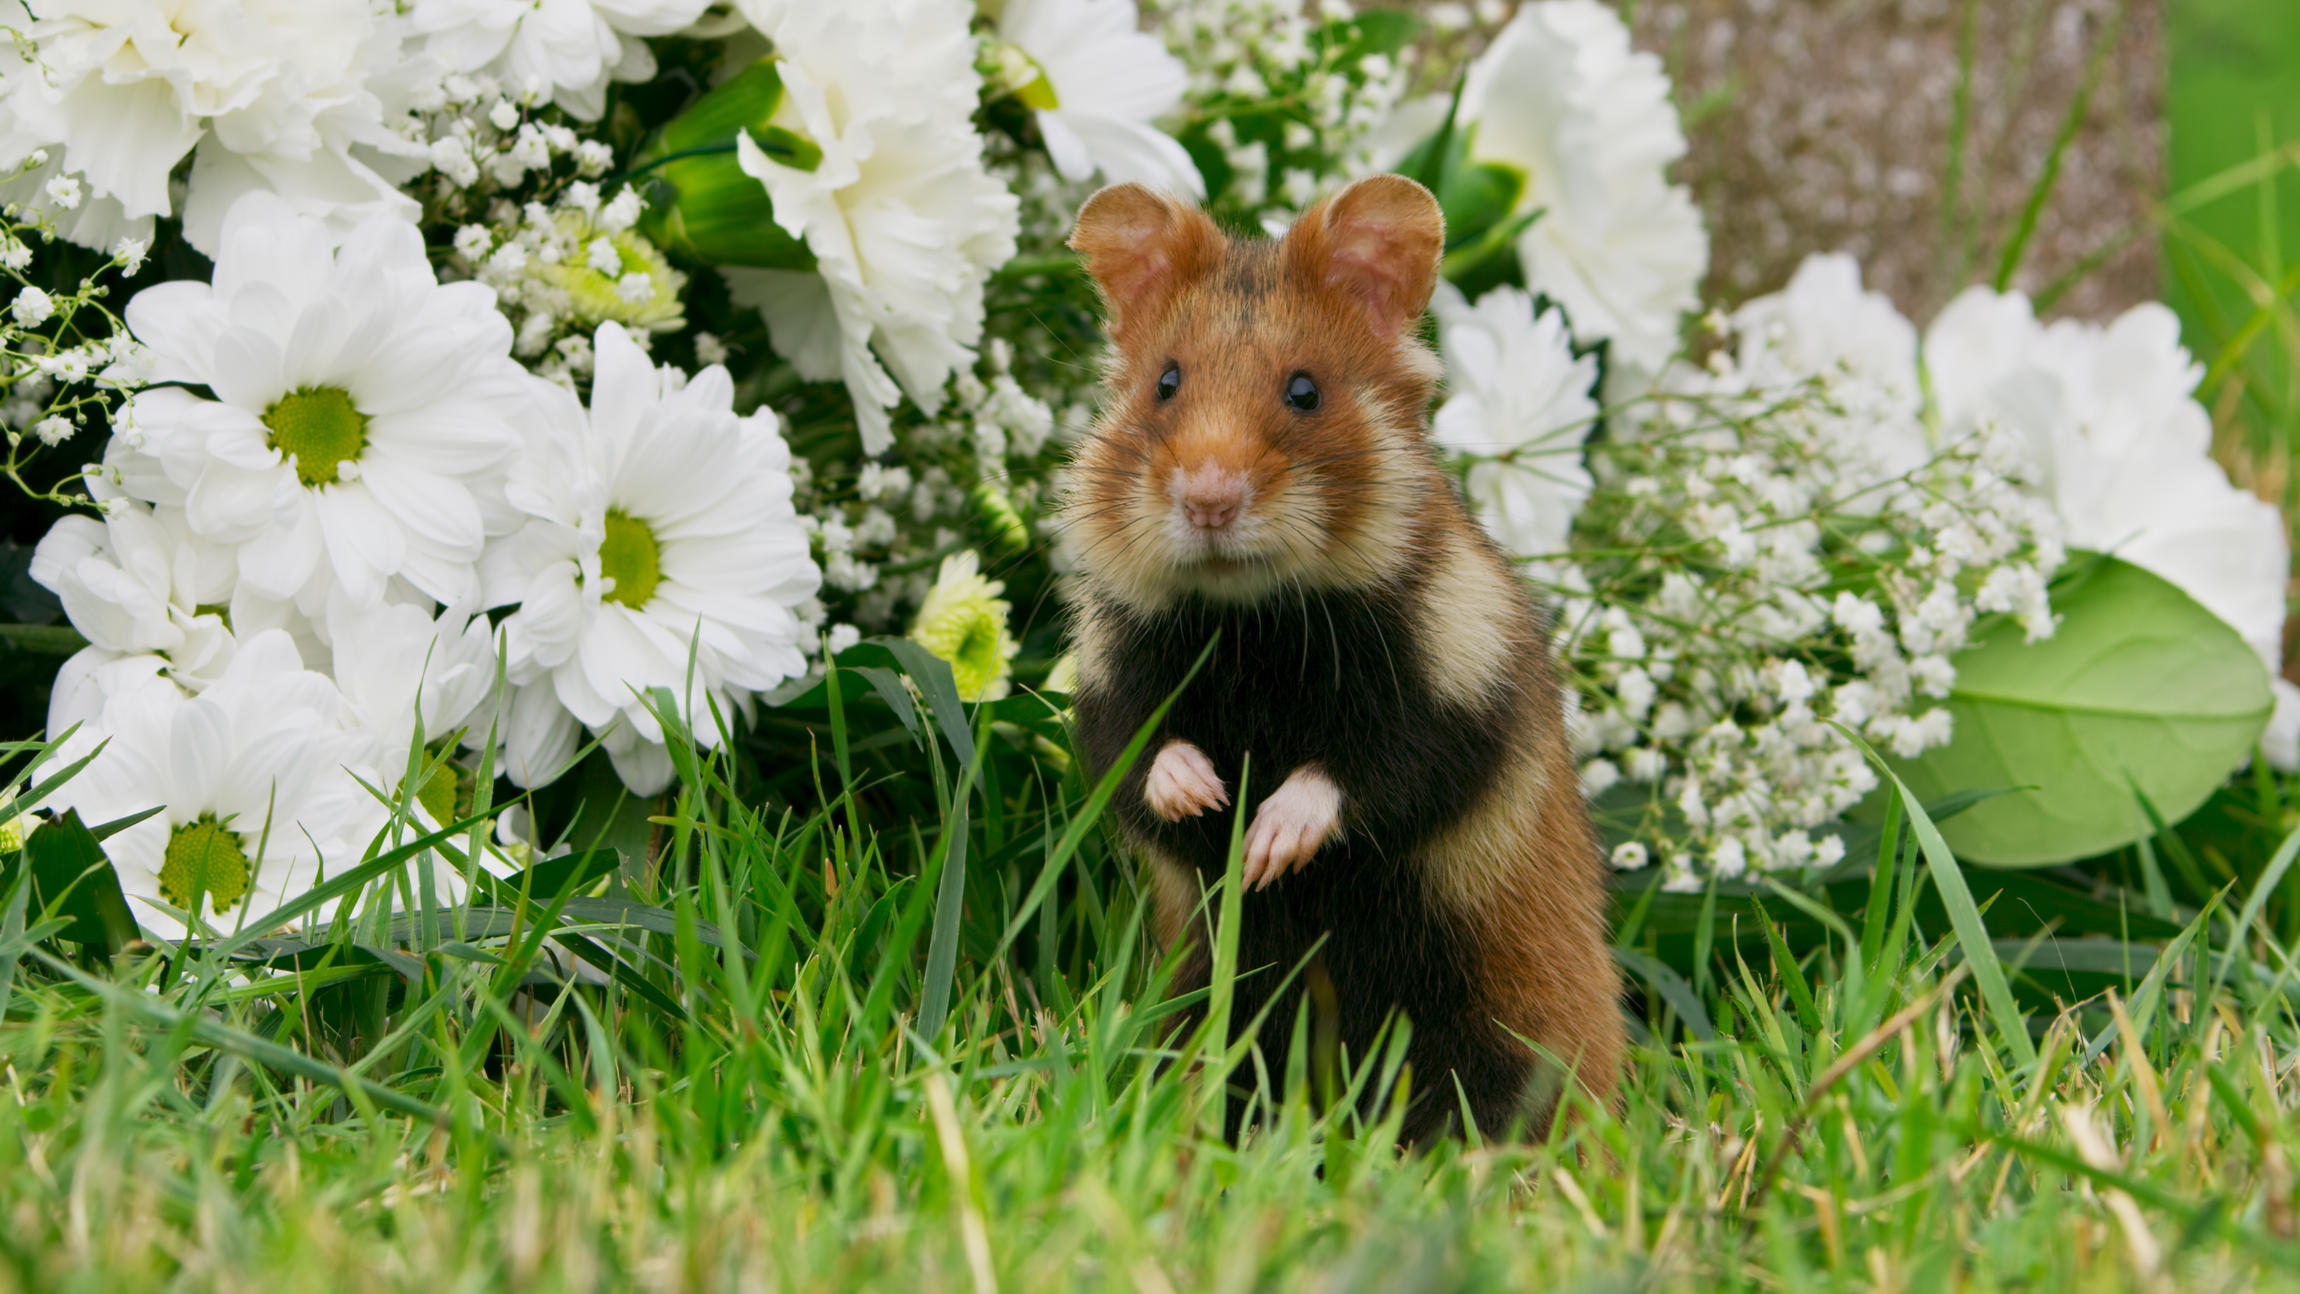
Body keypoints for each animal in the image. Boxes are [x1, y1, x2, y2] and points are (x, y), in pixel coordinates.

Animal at [1053, 174, 1619, 1144]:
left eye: (1305, 391)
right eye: (1165, 383)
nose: (1208, 500)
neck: (1252, 625)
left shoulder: (1458, 695)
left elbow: (1363, 775)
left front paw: (1266, 844)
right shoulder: (1107, 682)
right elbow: (1139, 760)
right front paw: (1207, 795)